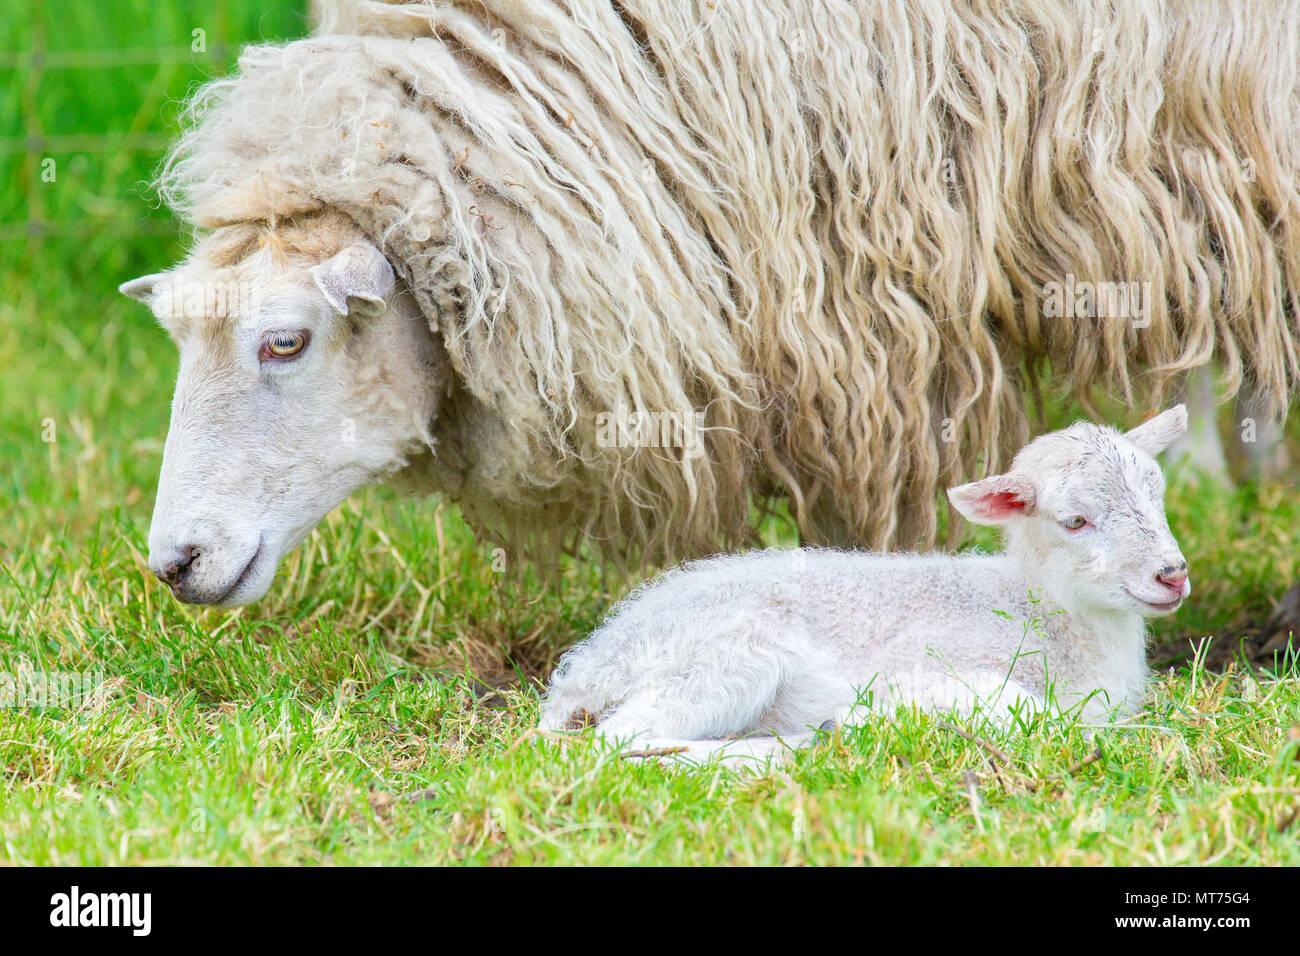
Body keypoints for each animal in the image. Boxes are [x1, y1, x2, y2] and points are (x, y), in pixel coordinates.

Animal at [538, 407, 1191, 764]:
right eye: (1074, 521)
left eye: (1157, 494)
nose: (1172, 574)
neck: (1043, 611)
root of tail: (585, 669)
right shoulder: (932, 661)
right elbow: (1027, 711)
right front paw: (865, 719)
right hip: (730, 655)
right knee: (623, 740)